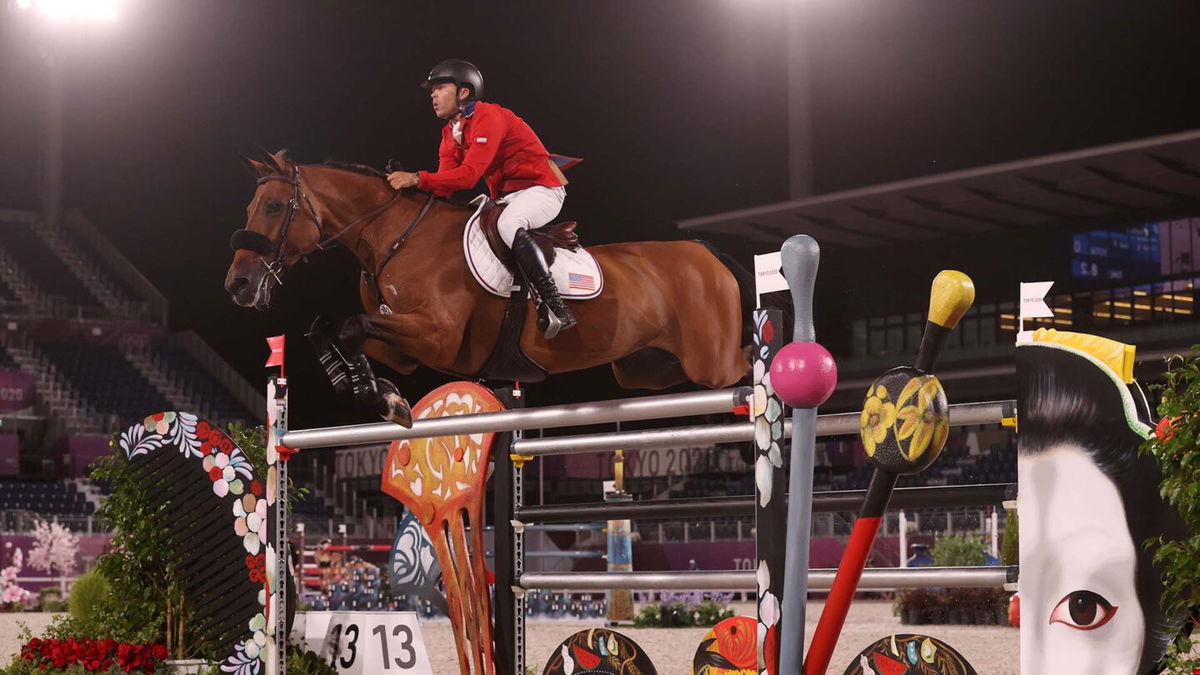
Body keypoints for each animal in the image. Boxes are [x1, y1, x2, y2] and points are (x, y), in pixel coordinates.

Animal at [224, 150, 744, 417]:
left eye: (274, 207)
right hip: (643, 368)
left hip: (711, 363)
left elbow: (351, 326)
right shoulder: (406, 348)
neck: (396, 236)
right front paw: (359, 382)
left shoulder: (437, 337)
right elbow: (327, 327)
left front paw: (380, 395)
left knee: (741, 369)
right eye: (249, 208)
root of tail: (706, 252)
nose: (238, 284)